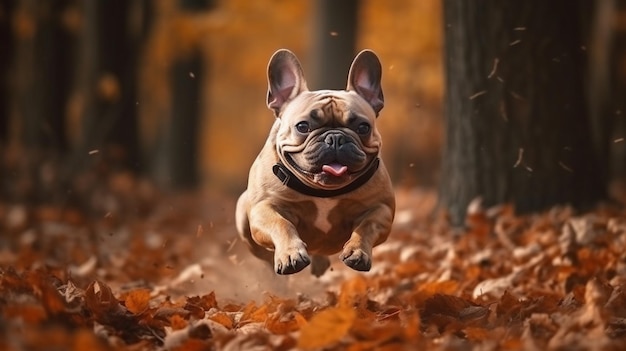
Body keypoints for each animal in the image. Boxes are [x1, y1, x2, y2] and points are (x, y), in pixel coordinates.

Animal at [236, 48, 392, 278]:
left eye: (363, 127)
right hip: (243, 214)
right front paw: (290, 255)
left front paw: (357, 252)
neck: (323, 192)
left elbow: (367, 226)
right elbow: (281, 224)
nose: (335, 138)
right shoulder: (264, 208)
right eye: (302, 126)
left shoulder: (381, 209)